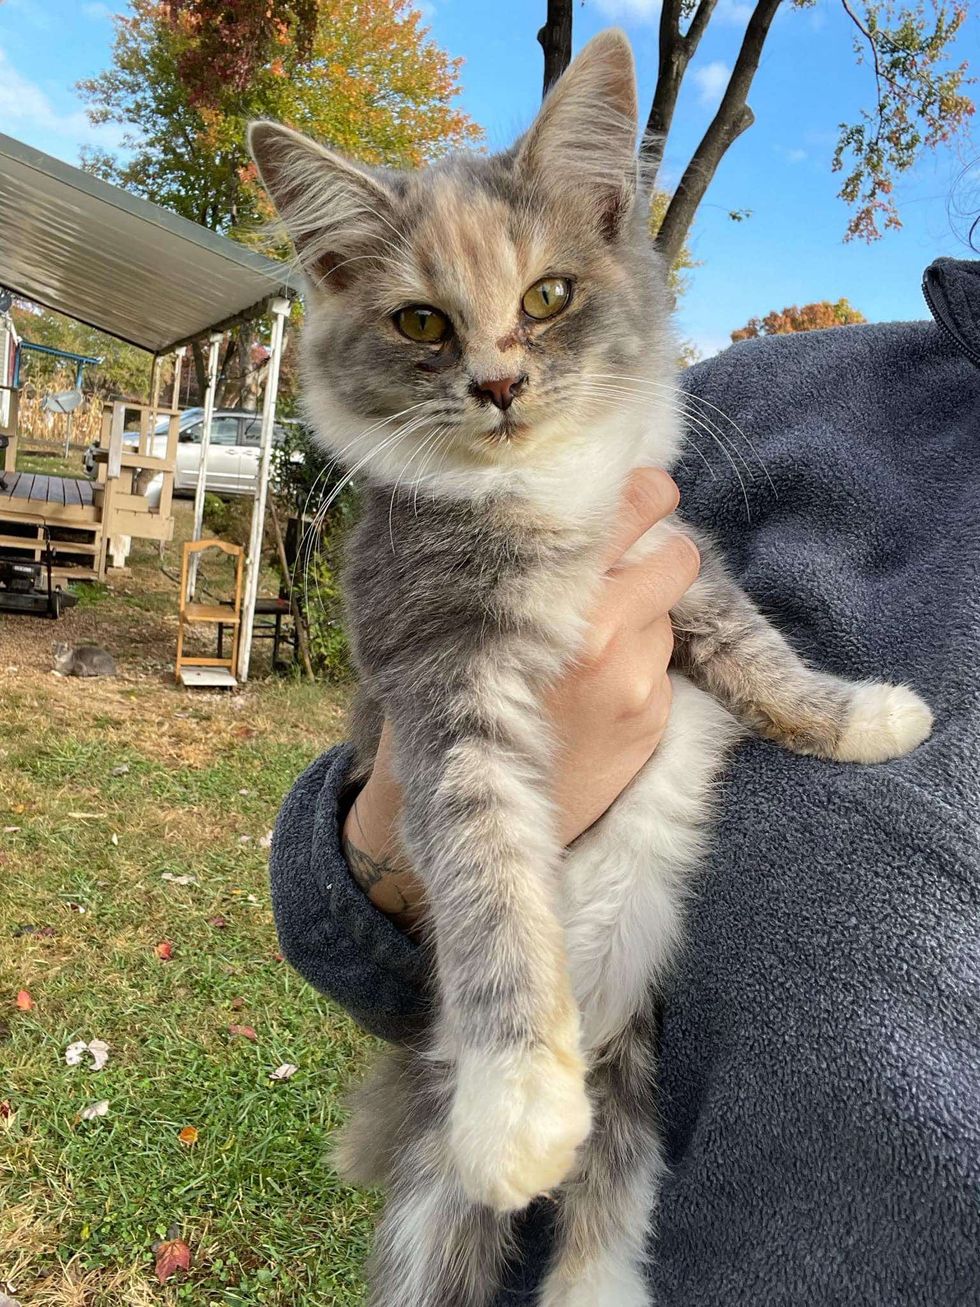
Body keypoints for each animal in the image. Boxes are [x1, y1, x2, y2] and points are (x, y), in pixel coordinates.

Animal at [246, 33, 935, 1307]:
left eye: (547, 298)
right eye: (421, 322)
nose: (498, 383)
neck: (540, 494)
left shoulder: (676, 570)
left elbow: (762, 652)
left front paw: (865, 716)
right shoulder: (443, 690)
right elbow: (490, 882)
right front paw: (518, 1096)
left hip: (634, 1084)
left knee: (604, 1216)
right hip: (441, 1187)